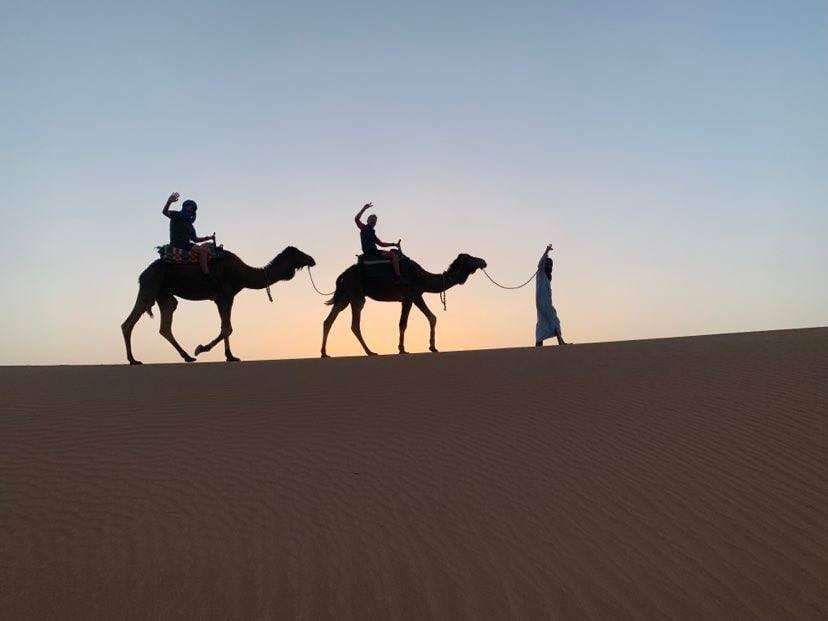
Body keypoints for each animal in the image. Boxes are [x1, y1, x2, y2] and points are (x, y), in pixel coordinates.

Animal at [122, 246, 316, 364]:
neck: (242, 273)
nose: (312, 260)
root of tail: (142, 274)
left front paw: (229, 356)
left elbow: (226, 327)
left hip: (165, 295)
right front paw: (201, 349)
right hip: (150, 286)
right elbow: (227, 328)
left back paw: (187, 357)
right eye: (299, 253)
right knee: (129, 322)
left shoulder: (225, 297)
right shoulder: (224, 295)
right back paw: (133, 360)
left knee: (165, 325)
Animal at [320, 253, 487, 357]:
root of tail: (342, 275)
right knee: (354, 324)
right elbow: (406, 323)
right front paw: (403, 349)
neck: (423, 277)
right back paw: (370, 352)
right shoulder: (412, 295)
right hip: (356, 295)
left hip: (344, 296)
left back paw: (324, 353)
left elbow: (429, 318)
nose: (483, 261)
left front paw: (431, 347)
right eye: (470, 258)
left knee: (329, 320)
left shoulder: (413, 297)